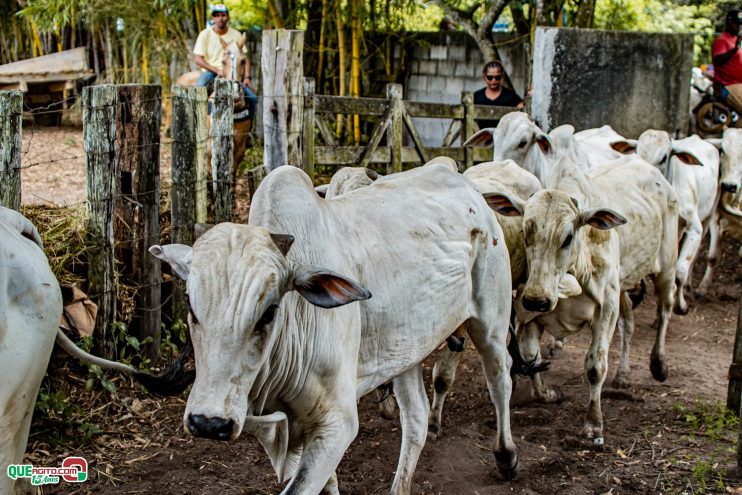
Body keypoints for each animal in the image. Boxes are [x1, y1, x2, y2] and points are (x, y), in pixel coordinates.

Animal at [150, 166, 520, 495]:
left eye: (269, 312)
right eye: (190, 305)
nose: (208, 423)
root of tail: (469, 185)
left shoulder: (337, 422)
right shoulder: (290, 429)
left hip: (490, 320)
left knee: (500, 378)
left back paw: (506, 456)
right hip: (406, 350)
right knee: (416, 417)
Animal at [488, 156, 680, 446]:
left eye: (567, 237)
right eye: (525, 233)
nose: (537, 299)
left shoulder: (606, 308)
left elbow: (595, 366)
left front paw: (594, 425)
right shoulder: (530, 312)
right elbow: (530, 355)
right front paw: (546, 393)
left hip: (666, 267)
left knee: (665, 309)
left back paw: (659, 364)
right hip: (623, 285)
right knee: (628, 324)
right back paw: (622, 376)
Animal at [612, 130, 720, 312]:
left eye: (663, 157)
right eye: (637, 152)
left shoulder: (694, 228)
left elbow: (681, 272)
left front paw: (680, 305)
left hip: (709, 215)